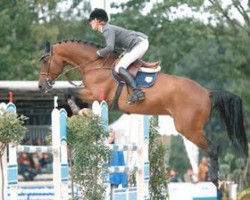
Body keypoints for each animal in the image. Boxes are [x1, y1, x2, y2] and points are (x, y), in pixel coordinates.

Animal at [38, 39, 248, 186]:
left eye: (45, 61)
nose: (41, 86)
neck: (93, 64)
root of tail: (207, 93)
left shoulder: (95, 94)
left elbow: (68, 92)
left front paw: (76, 110)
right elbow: (69, 93)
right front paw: (79, 112)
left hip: (188, 129)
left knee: (213, 148)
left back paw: (215, 180)